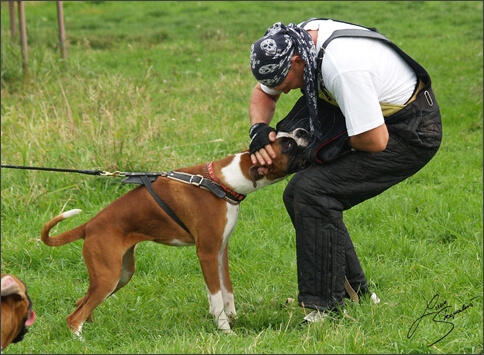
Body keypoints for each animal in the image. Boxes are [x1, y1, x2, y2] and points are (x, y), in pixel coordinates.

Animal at [38, 129, 310, 336]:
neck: (222, 181)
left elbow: (227, 290)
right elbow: (216, 297)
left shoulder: (221, 251)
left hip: (120, 274)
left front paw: (232, 318)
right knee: (74, 316)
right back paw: (80, 338)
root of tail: (89, 225)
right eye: (287, 144)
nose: (302, 131)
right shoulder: (207, 253)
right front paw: (225, 330)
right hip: (108, 277)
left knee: (81, 303)